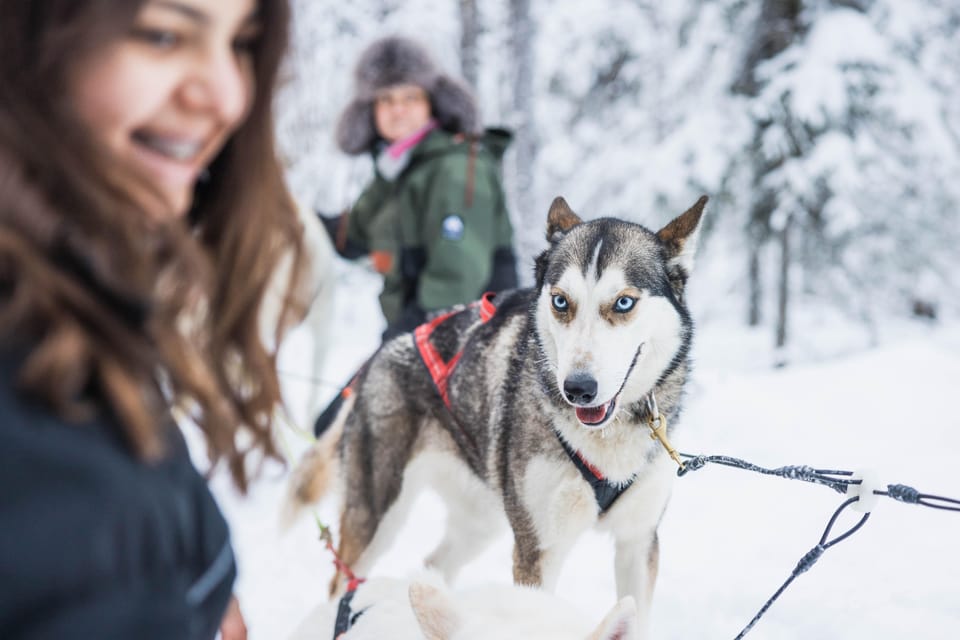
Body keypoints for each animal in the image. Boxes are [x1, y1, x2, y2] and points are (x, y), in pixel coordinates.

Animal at [288, 195, 708, 636]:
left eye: (624, 302)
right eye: (561, 301)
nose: (578, 388)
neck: (606, 441)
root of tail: (383, 352)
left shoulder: (638, 542)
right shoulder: (537, 550)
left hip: (481, 519)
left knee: (433, 565)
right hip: (377, 516)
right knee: (344, 581)